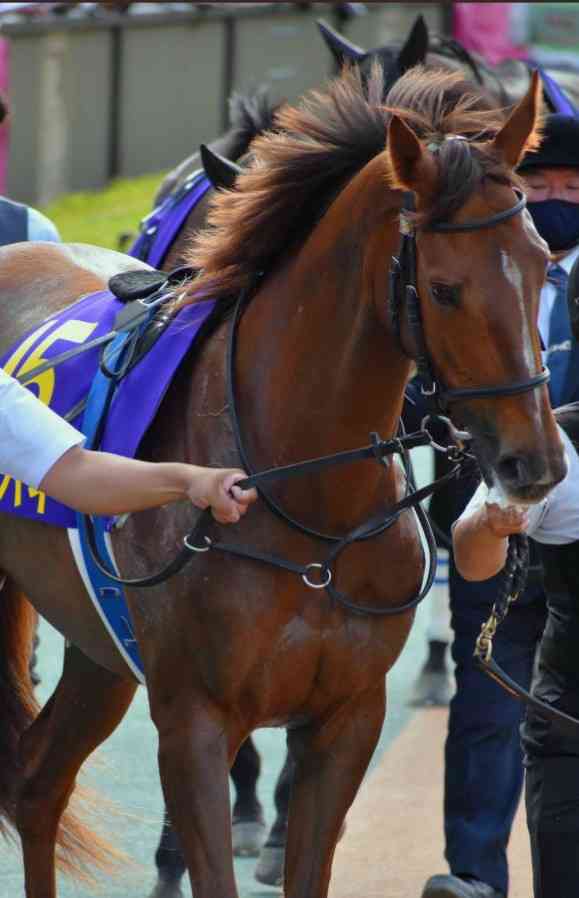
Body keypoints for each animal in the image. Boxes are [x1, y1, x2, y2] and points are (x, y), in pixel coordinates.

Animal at [0, 63, 565, 898]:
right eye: (442, 289)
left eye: (542, 264)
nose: (538, 462)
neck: (309, 511)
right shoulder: (193, 720)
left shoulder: (345, 719)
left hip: (99, 647)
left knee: (38, 784)